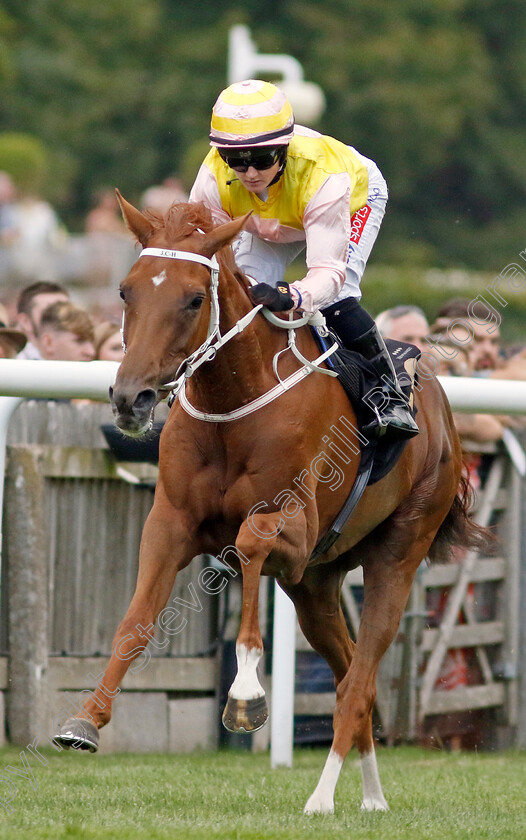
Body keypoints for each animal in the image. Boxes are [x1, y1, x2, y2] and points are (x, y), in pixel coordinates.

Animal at [55, 195, 488, 812]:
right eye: (124, 291)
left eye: (194, 298)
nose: (129, 398)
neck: (234, 402)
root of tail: (444, 411)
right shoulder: (171, 522)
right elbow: (135, 622)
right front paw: (85, 721)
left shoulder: (296, 530)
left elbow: (250, 539)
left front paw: (245, 693)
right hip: (316, 585)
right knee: (350, 673)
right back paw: (372, 797)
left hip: (398, 553)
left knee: (360, 681)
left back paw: (323, 797)